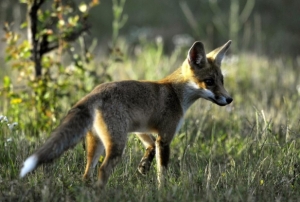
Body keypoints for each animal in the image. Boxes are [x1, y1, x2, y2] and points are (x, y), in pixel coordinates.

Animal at [19, 39, 233, 188]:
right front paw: (162, 190)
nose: (229, 99)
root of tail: (93, 92)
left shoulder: (140, 129)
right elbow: (162, 172)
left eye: (222, 80)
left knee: (86, 174)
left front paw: (143, 168)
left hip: (96, 144)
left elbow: (150, 148)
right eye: (209, 82)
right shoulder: (165, 137)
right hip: (116, 145)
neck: (176, 93)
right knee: (103, 170)